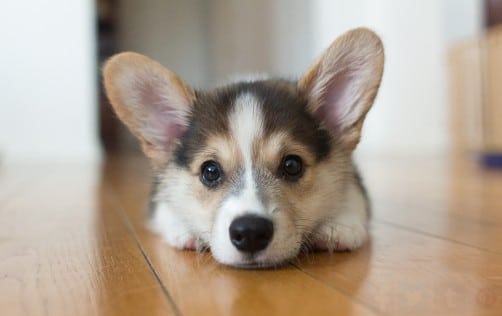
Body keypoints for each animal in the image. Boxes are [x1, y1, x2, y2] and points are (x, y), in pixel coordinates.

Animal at [102, 28, 384, 268]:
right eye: (210, 171)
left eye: (292, 165)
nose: (250, 232)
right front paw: (187, 230)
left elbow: (352, 200)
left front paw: (338, 227)